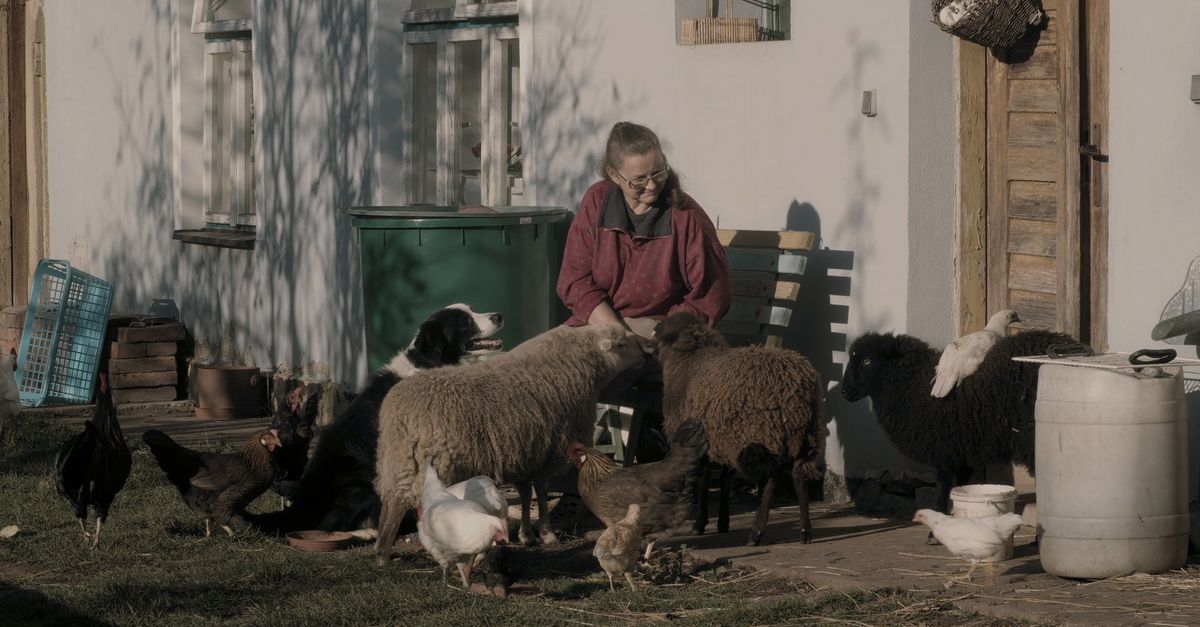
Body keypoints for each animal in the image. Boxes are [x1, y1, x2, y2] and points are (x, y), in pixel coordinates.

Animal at [249, 302, 501, 530]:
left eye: (473, 310)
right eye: (464, 322)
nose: (499, 315)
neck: (431, 363)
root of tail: (300, 508)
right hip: (364, 477)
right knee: (332, 524)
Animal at [372, 321, 643, 562]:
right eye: (621, 344)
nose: (645, 350)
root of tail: (398, 412)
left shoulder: (524, 452)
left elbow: (525, 492)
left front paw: (526, 534)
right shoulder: (548, 451)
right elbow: (540, 492)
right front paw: (546, 533)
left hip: (398, 461)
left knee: (390, 501)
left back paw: (380, 549)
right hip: (433, 463)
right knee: (403, 504)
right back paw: (387, 553)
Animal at [657, 309, 825, 540]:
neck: (689, 362)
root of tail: (796, 385)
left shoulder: (698, 440)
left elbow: (703, 479)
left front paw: (700, 523)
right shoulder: (723, 439)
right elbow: (724, 479)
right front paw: (722, 522)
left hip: (762, 434)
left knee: (770, 481)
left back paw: (756, 533)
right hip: (803, 434)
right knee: (799, 476)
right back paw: (805, 531)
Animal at [840, 324, 1075, 514]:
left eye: (867, 360)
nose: (844, 391)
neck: (915, 385)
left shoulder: (944, 449)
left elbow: (943, 488)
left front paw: (936, 525)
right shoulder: (962, 448)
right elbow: (961, 485)